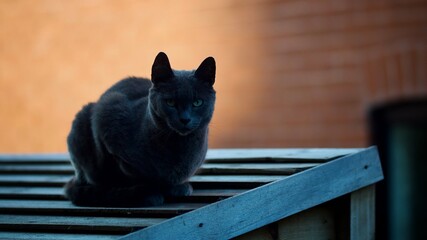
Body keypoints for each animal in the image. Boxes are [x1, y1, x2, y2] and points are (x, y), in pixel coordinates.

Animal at [65, 52, 216, 206]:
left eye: (197, 102)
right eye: (170, 102)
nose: (185, 119)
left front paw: (176, 187)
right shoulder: (107, 115)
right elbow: (128, 175)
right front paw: (149, 192)